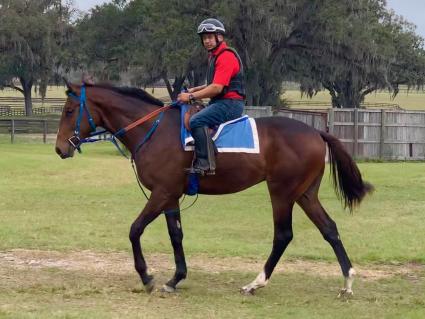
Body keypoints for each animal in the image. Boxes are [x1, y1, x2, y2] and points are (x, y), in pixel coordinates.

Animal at [53, 83, 372, 298]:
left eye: (69, 110)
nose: (59, 149)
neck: (153, 129)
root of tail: (315, 131)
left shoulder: (160, 193)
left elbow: (135, 229)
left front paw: (146, 276)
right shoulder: (170, 195)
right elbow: (176, 235)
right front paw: (175, 278)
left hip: (282, 193)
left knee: (283, 235)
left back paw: (256, 282)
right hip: (305, 194)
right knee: (329, 229)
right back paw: (347, 282)